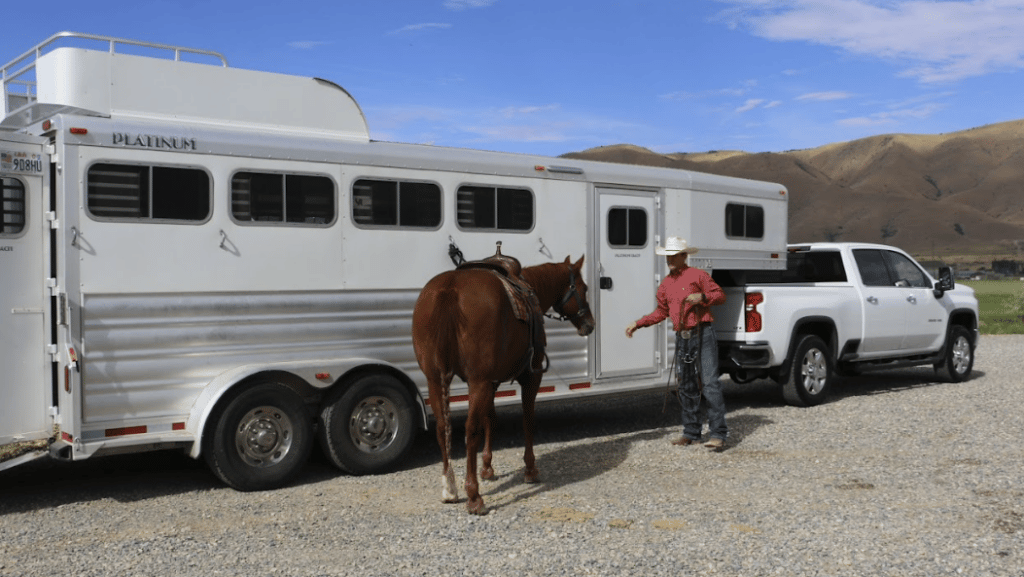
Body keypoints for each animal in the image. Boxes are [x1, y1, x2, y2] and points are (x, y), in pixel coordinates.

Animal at [411, 257, 598, 514]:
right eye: (584, 288)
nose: (589, 324)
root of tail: (449, 289)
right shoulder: (529, 378)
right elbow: (527, 421)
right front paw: (530, 469)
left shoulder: (491, 382)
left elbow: (491, 419)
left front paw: (487, 468)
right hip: (476, 381)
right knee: (470, 430)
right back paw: (474, 495)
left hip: (435, 379)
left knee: (442, 427)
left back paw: (449, 488)